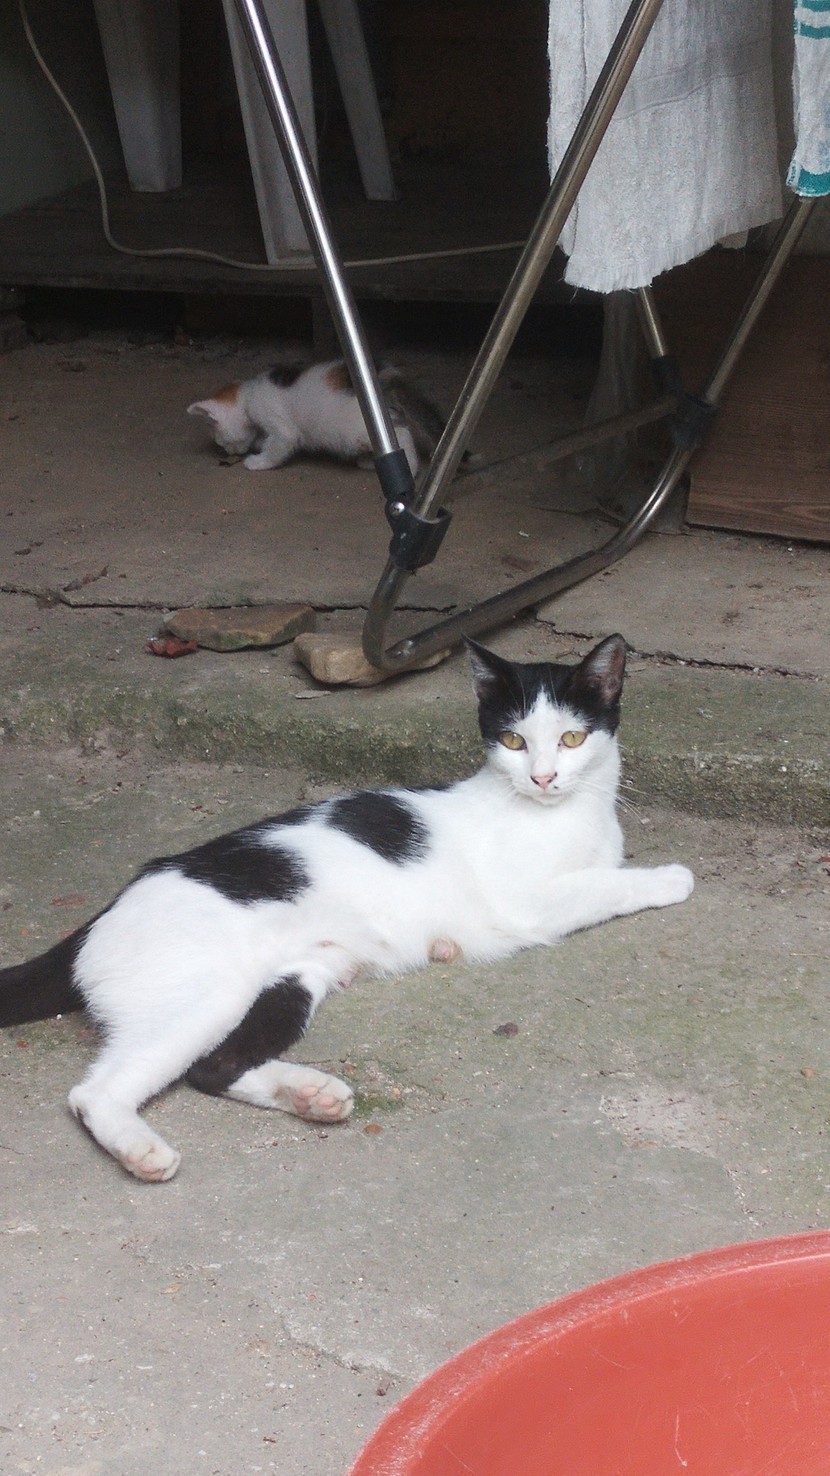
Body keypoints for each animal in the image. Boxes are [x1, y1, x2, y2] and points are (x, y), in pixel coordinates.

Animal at [0, 636, 693, 1184]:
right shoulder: (527, 902)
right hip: (202, 994)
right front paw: (670, 878)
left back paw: (312, 1095)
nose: (544, 777)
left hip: (295, 978)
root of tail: (100, 915)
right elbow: (607, 884)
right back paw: (142, 1150)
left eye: (573, 738)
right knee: (96, 1091)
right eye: (514, 740)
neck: (567, 813)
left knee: (212, 1066)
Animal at [187, 359, 446, 476]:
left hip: (357, 426)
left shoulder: (276, 420)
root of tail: (385, 379)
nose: (229, 453)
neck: (248, 395)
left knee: (401, 433)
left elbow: (279, 444)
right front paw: (258, 445)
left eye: (222, 441)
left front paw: (258, 462)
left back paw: (408, 465)